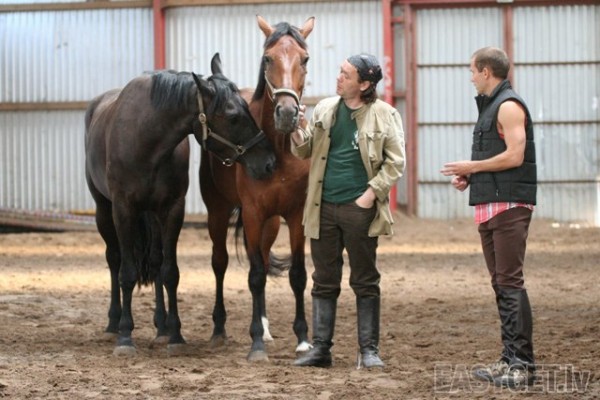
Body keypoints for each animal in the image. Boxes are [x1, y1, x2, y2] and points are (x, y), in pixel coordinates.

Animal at [84, 53, 276, 356]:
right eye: (233, 116)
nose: (269, 162)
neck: (146, 140)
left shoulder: (173, 209)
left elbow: (169, 272)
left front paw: (174, 334)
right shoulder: (123, 210)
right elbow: (127, 272)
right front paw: (125, 336)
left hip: (152, 215)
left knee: (155, 262)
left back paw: (161, 327)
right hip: (103, 210)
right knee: (114, 260)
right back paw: (113, 324)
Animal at [200, 16, 315, 362]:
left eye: (305, 59)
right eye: (267, 58)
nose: (287, 114)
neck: (280, 151)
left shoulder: (294, 215)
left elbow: (297, 275)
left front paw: (303, 339)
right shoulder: (251, 214)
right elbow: (254, 277)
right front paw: (256, 346)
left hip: (271, 223)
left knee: (262, 258)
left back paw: (264, 327)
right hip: (218, 212)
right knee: (221, 263)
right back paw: (220, 330)